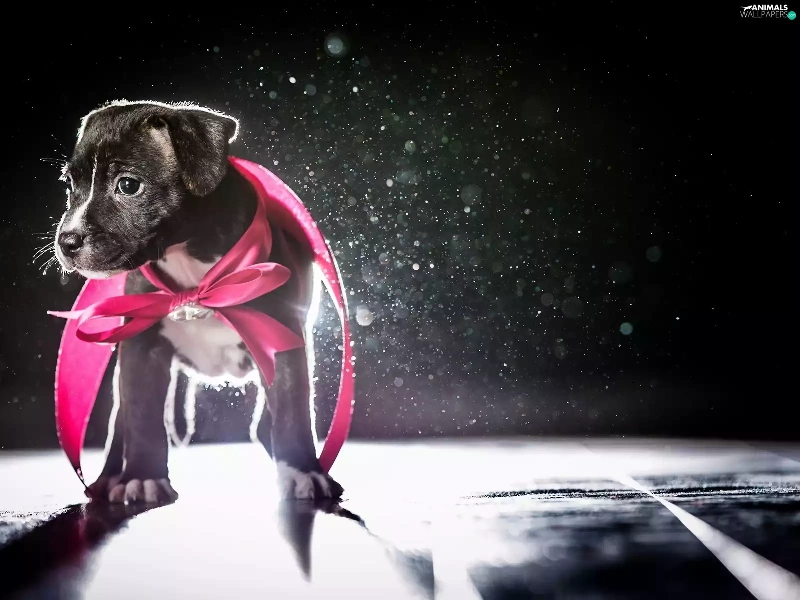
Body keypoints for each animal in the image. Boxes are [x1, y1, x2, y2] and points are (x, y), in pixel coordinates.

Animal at [53, 100, 344, 504]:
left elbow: (291, 410)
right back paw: (111, 477)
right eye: (70, 185)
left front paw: (303, 471)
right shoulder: (141, 348)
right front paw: (142, 477)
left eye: (128, 185)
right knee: (122, 422)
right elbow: (142, 417)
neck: (192, 269)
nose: (67, 241)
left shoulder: (279, 338)